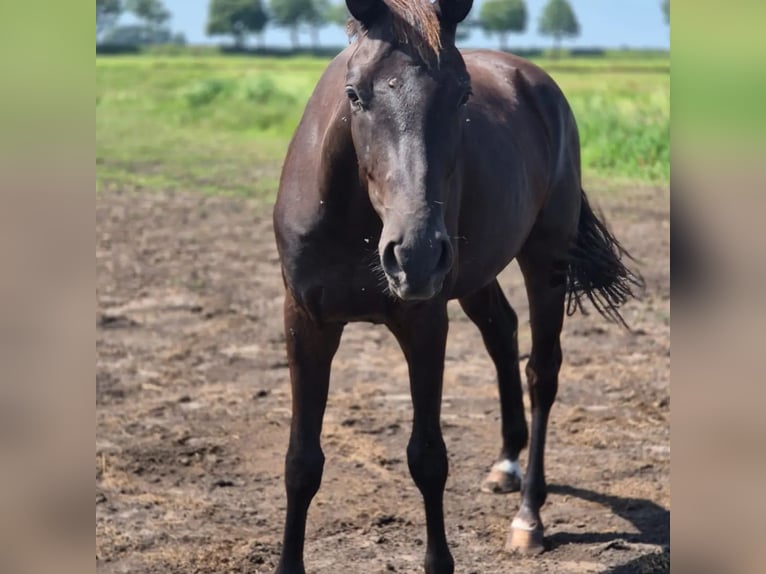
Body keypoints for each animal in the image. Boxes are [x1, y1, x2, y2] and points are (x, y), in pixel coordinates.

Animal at [272, 2, 640, 572]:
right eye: (355, 93)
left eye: (463, 94)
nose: (415, 252)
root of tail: (535, 81)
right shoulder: (305, 322)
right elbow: (301, 461)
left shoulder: (424, 323)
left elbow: (427, 457)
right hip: (475, 275)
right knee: (501, 332)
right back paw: (506, 464)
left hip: (545, 259)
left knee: (542, 372)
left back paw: (528, 518)